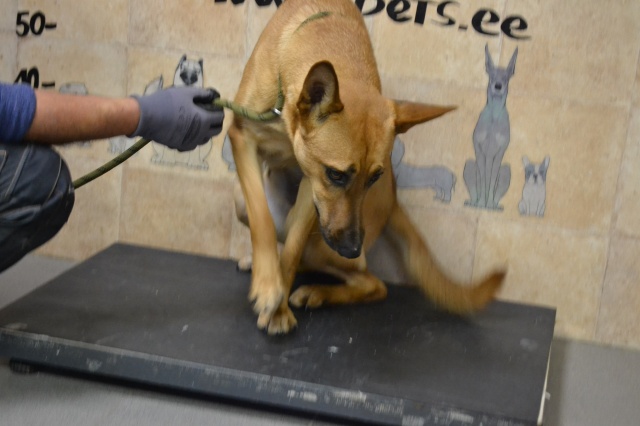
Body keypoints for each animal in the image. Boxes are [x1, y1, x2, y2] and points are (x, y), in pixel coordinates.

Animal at [229, 0, 505, 334]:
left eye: (375, 177)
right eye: (336, 174)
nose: (352, 247)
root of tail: (394, 200)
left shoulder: (311, 186)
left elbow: (292, 251)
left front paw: (278, 306)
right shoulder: (243, 138)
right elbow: (261, 218)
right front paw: (270, 286)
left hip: (321, 244)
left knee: (373, 284)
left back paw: (317, 292)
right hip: (249, 204)